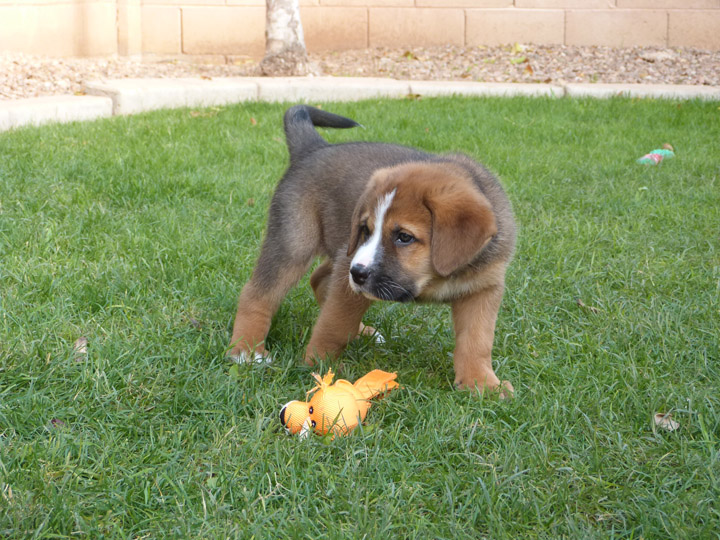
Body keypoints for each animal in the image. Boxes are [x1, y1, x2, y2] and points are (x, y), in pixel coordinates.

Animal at [228, 105, 516, 394]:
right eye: (366, 229)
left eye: (404, 237)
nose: (358, 274)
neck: (436, 278)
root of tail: (314, 148)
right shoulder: (347, 276)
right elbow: (334, 324)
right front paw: (319, 366)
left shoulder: (483, 289)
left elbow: (477, 341)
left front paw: (481, 384)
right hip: (296, 243)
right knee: (258, 293)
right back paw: (246, 351)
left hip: (338, 251)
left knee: (319, 279)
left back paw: (362, 330)